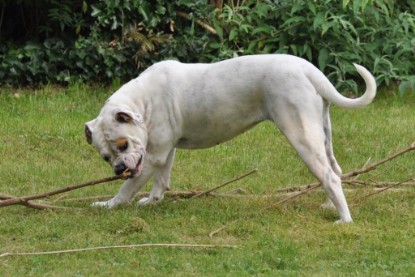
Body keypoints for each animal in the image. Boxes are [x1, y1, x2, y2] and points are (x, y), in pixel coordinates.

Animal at [84, 54, 376, 222]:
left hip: (301, 134)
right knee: (335, 171)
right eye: (105, 157)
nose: (119, 169)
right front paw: (153, 201)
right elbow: (161, 180)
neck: (143, 100)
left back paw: (344, 220)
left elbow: (127, 190)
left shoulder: (152, 156)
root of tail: (308, 69)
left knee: (328, 176)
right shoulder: (163, 152)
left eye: (124, 145)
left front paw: (108, 204)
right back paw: (330, 205)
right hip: (322, 133)